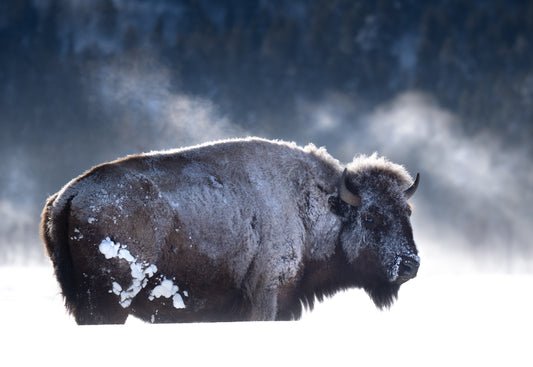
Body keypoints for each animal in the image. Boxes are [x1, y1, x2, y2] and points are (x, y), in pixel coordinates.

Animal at [39, 138, 418, 324]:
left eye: (407, 212)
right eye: (371, 217)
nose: (411, 264)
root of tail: (69, 195)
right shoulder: (267, 297)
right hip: (110, 302)